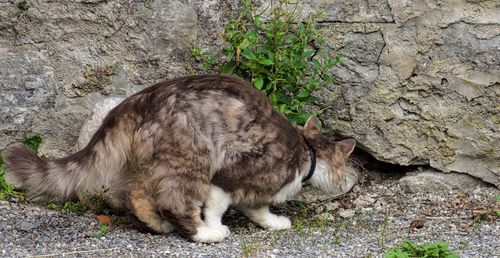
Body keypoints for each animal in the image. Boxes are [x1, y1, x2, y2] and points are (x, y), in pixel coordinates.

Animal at [3, 73, 356, 243]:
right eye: (345, 167)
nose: (348, 180)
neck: (305, 152)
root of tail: (142, 97)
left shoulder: (254, 189)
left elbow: (258, 208)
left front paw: (273, 222)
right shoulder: (230, 174)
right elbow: (218, 205)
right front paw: (213, 225)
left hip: (157, 160)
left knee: (135, 193)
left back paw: (155, 223)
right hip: (192, 157)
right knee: (177, 200)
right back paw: (202, 234)